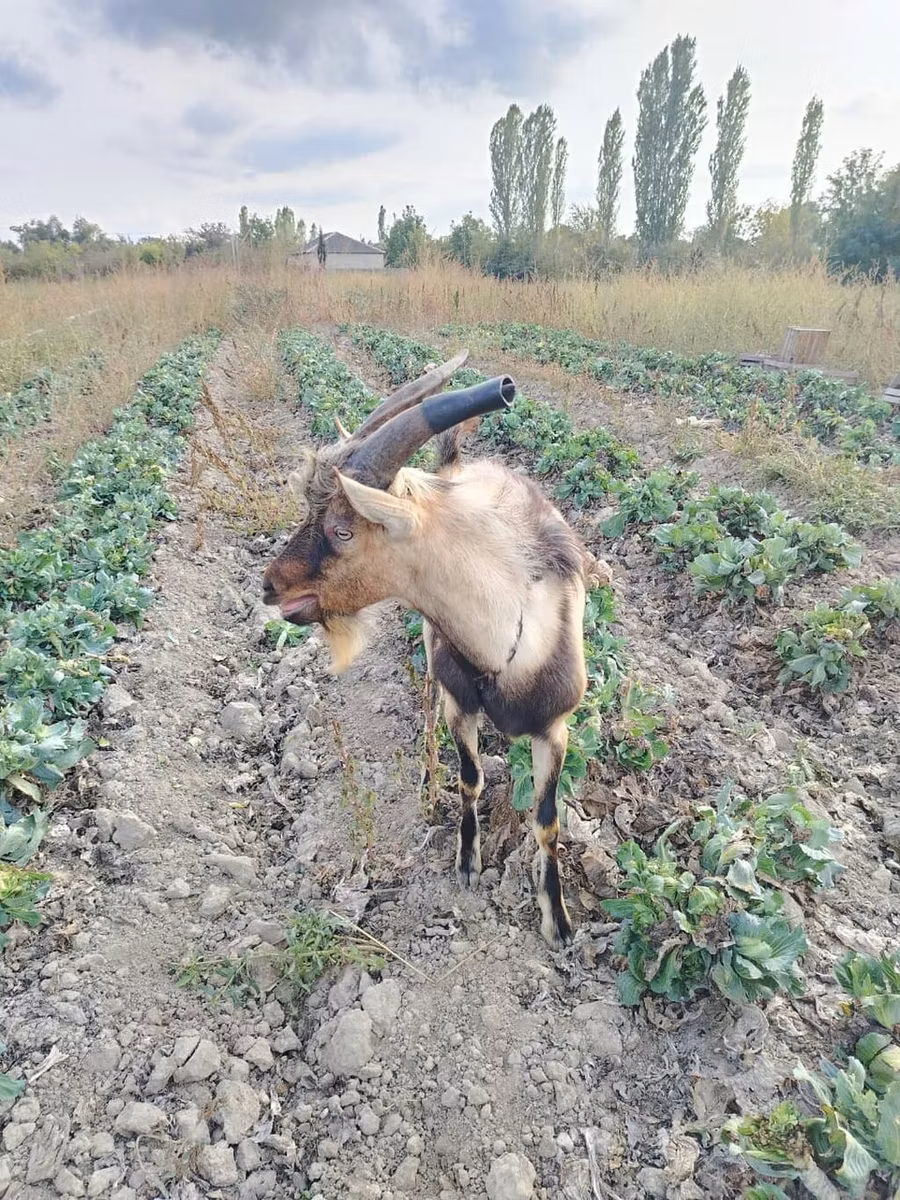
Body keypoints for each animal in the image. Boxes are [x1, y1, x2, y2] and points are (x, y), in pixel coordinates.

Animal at [262, 350, 593, 948]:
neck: (508, 633)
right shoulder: (461, 704)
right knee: (426, 697)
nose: (270, 586)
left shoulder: (556, 729)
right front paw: (466, 863)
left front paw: (556, 920)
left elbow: (547, 817)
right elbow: (470, 778)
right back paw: (425, 768)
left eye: (342, 529)